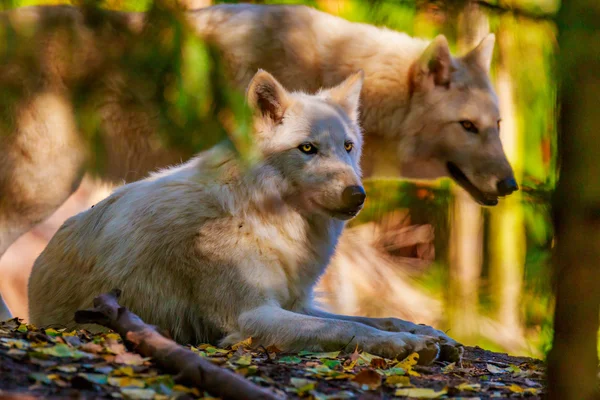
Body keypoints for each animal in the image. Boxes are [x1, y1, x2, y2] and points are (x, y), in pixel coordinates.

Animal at [27, 70, 460, 364]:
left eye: (348, 147)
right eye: (307, 149)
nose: (358, 195)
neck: (260, 216)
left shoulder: (295, 301)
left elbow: (374, 317)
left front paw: (425, 332)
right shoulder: (251, 317)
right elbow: (345, 326)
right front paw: (407, 345)